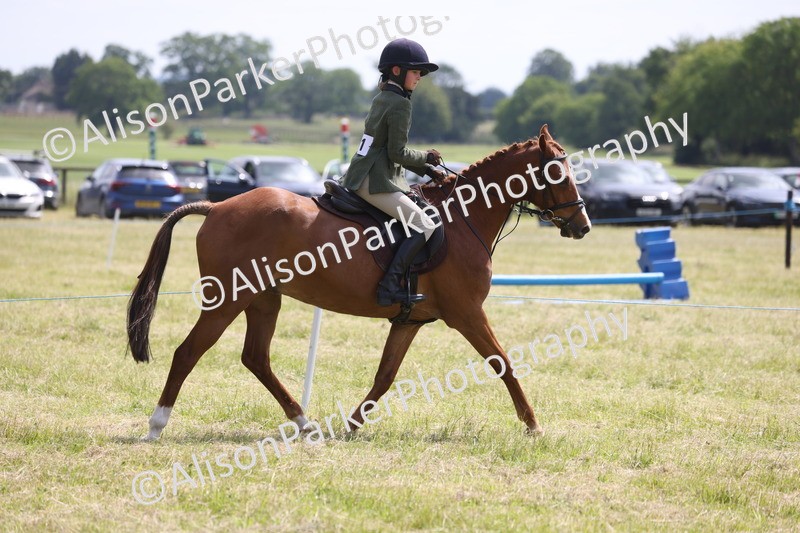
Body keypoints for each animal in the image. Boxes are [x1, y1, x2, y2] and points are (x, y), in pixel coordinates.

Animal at [128, 124, 591, 441]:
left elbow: (385, 376)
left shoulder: (410, 320)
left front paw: (352, 425)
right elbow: (503, 363)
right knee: (189, 352)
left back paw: (305, 422)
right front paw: (532, 424)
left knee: (256, 358)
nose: (583, 226)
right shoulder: (467, 314)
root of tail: (217, 207)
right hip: (228, 299)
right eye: (558, 170)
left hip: (264, 299)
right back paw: (157, 425)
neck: (464, 218)